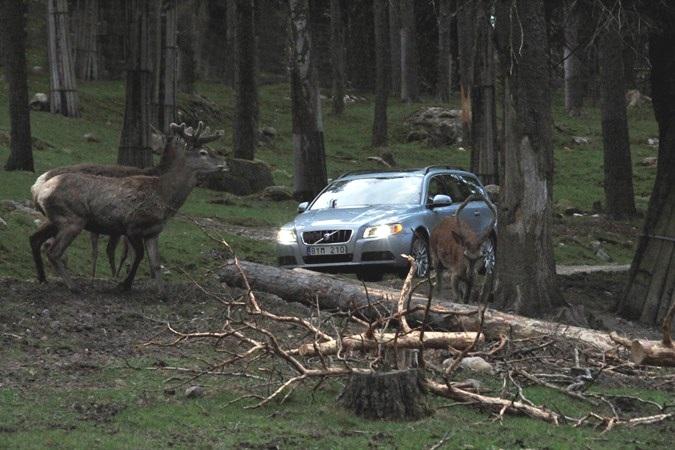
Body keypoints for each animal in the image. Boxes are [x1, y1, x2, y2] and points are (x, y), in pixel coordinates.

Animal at [30, 122, 226, 294]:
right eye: (203, 152)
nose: (224, 164)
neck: (163, 195)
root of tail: (38, 189)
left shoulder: (153, 232)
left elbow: (155, 263)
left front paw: (162, 292)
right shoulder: (132, 226)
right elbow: (137, 256)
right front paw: (124, 285)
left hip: (57, 219)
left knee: (36, 239)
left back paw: (44, 279)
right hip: (73, 219)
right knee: (53, 251)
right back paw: (73, 286)